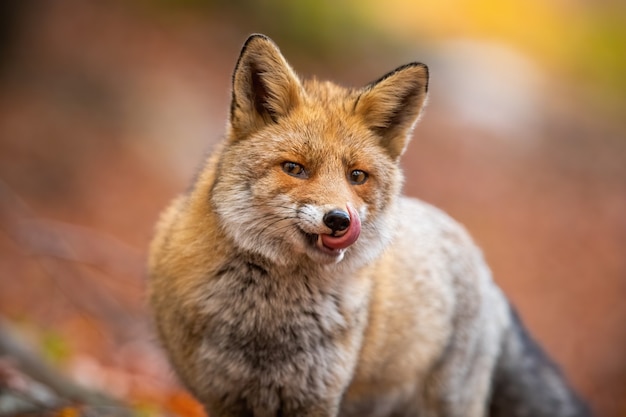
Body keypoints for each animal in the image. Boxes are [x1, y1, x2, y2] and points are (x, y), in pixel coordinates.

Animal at [147, 33, 588, 416]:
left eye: (356, 176)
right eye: (294, 168)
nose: (340, 220)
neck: (266, 322)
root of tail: (476, 255)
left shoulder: (316, 399)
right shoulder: (223, 396)